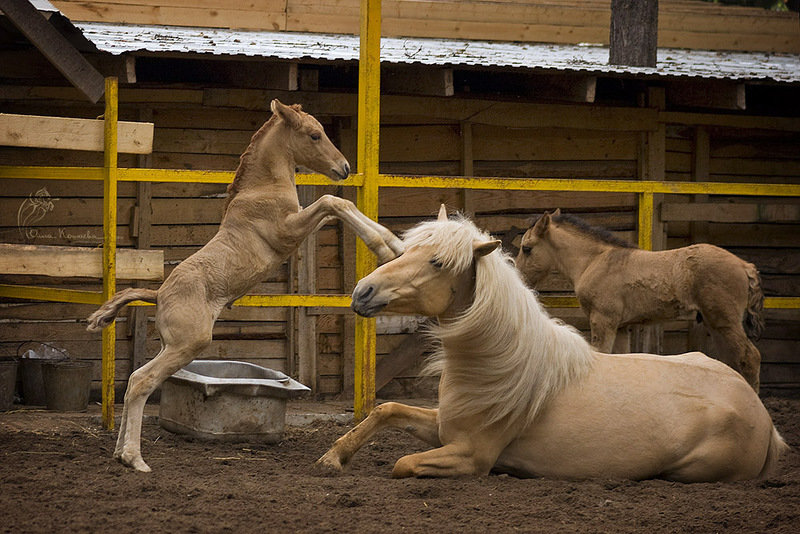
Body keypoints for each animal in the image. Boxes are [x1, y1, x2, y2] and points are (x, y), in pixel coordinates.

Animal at [86, 101, 406, 474]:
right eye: (315, 135)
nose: (344, 168)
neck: (262, 189)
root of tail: (159, 293)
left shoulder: (301, 225)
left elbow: (340, 208)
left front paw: (396, 245)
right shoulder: (287, 232)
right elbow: (333, 201)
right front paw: (385, 249)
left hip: (172, 345)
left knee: (135, 378)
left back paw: (119, 453)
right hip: (188, 344)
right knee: (141, 381)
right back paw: (134, 458)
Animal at [516, 210, 764, 394]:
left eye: (527, 248)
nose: (520, 278)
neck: (593, 261)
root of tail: (745, 266)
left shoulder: (602, 320)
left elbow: (602, 354)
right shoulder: (621, 326)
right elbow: (619, 358)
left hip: (725, 321)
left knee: (750, 357)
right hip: (715, 323)